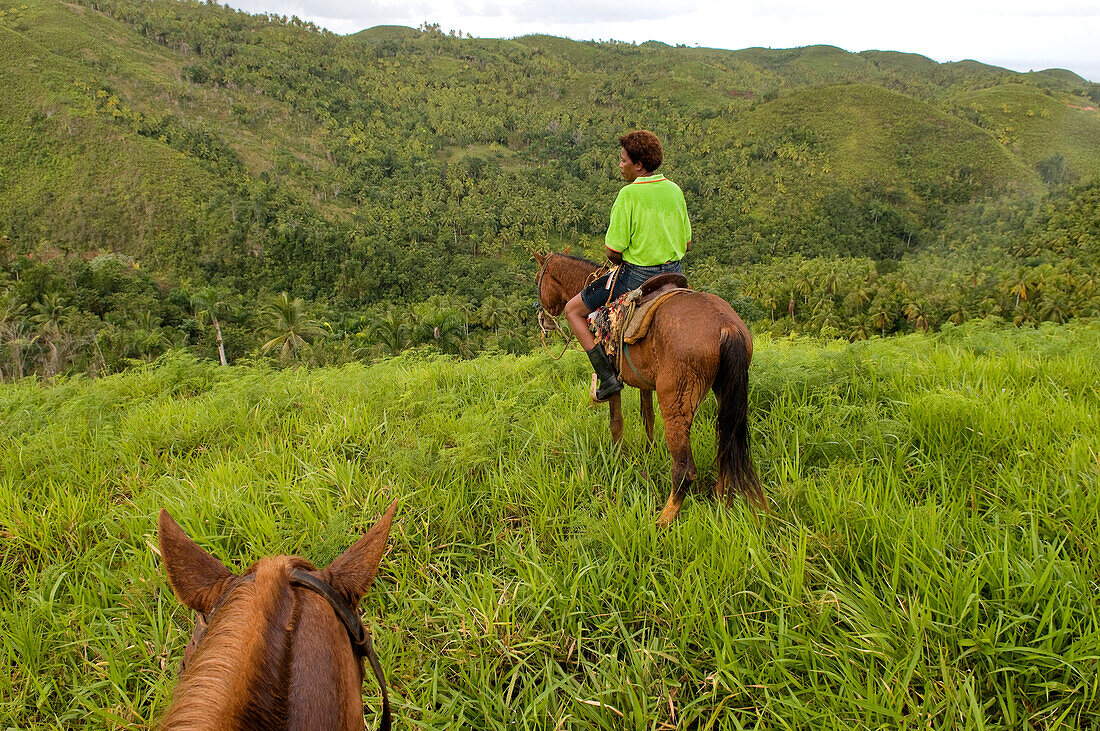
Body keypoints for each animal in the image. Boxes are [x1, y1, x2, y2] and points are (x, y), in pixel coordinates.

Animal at [534, 252, 765, 525]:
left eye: (538, 280)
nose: (545, 321)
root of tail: (726, 325)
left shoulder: (614, 375)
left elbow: (616, 422)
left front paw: (616, 460)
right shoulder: (644, 381)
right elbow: (648, 417)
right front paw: (649, 452)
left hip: (675, 401)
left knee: (685, 469)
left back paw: (664, 519)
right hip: (725, 393)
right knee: (726, 449)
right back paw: (719, 500)